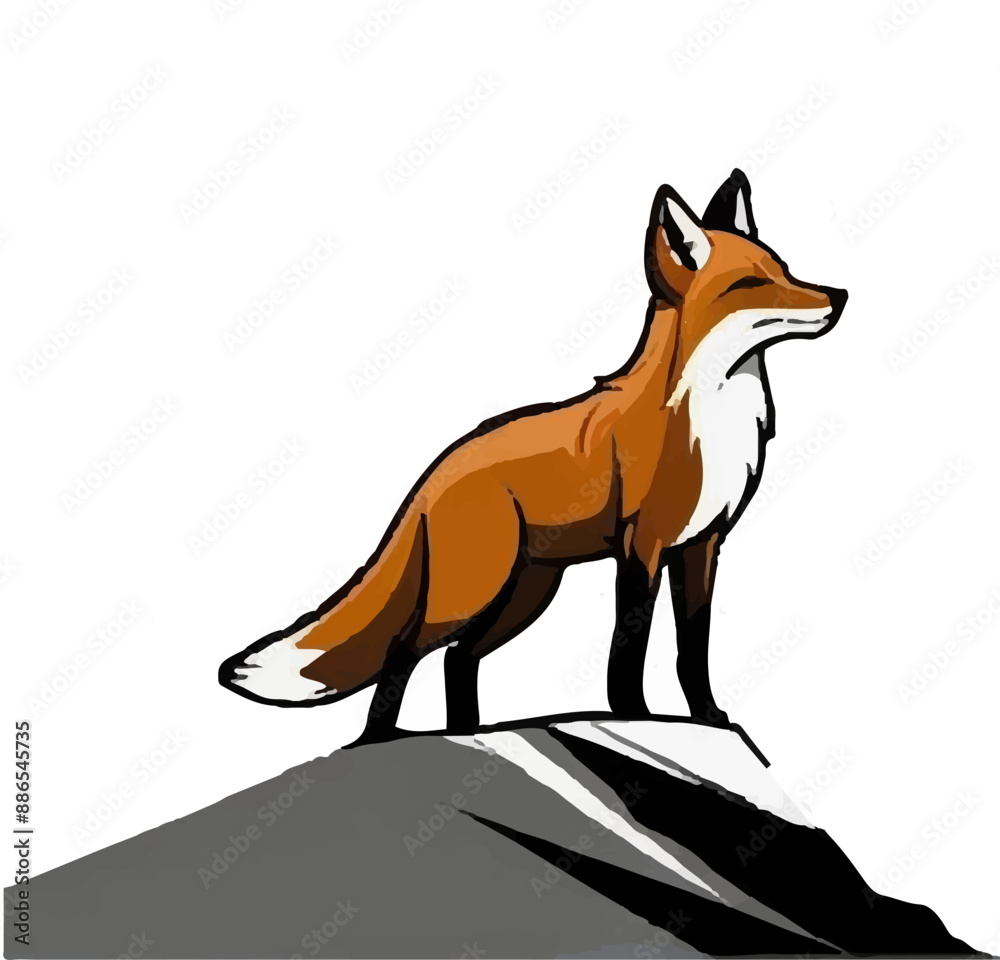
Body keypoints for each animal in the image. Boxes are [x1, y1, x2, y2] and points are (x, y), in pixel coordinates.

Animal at [219, 169, 847, 742]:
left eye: (785, 269)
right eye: (751, 283)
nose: (839, 296)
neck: (708, 416)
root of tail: (434, 473)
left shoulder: (702, 546)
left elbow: (693, 651)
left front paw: (710, 719)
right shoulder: (641, 547)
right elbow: (630, 647)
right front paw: (634, 717)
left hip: (526, 593)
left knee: (459, 658)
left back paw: (468, 733)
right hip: (472, 593)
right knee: (406, 651)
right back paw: (380, 741)